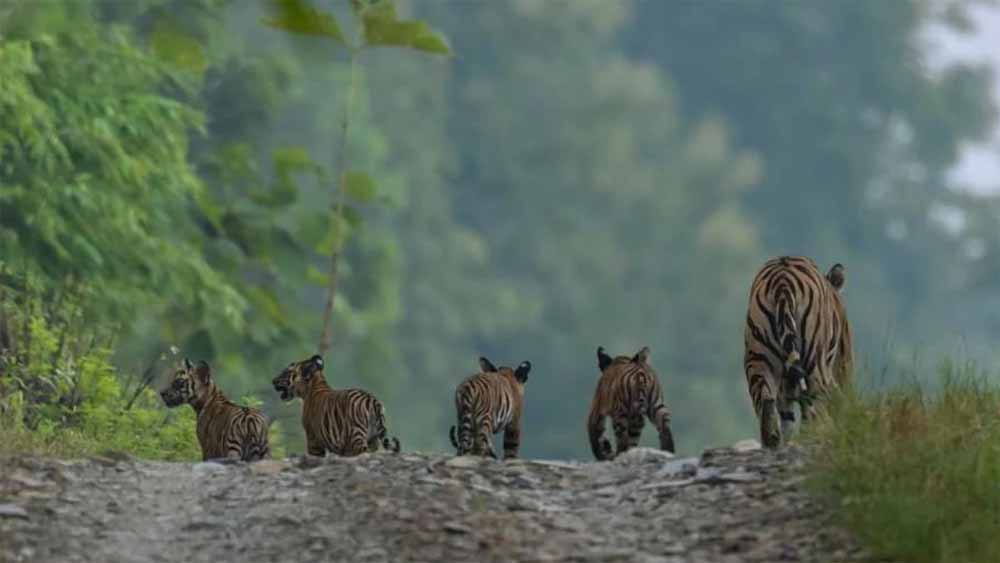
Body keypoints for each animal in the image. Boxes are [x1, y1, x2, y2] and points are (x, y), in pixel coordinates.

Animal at [274, 356, 402, 458]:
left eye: (285, 372)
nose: (273, 381)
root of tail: (372, 399)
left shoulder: (313, 439)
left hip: (356, 437)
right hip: (373, 439)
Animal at [744, 256, 852, 450]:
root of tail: (782, 281)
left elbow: (788, 420)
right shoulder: (842, 365)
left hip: (757, 360)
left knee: (766, 404)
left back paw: (772, 443)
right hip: (815, 366)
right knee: (818, 407)